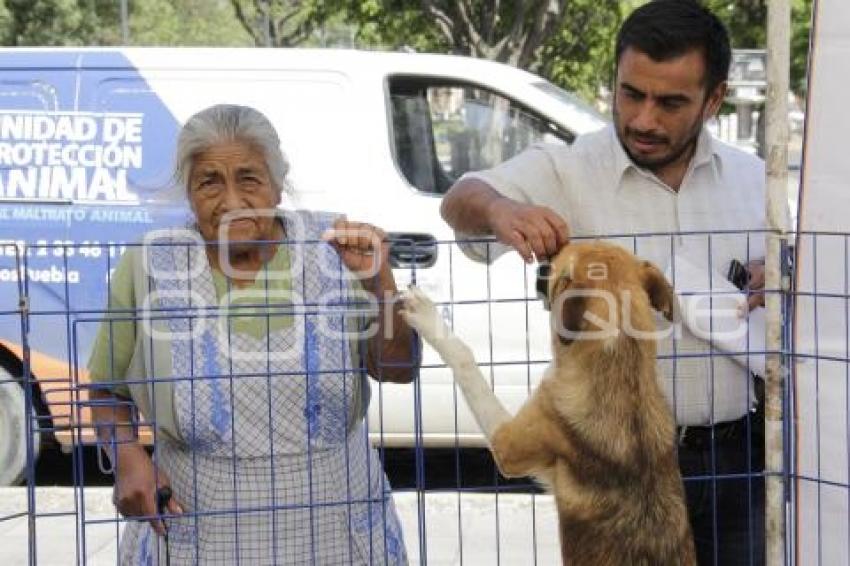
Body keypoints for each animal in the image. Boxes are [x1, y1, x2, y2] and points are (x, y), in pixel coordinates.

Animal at [400, 242, 692, 564]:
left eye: (559, 259)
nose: (543, 254)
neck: (623, 371)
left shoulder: (507, 446)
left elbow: (466, 360)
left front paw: (427, 317)